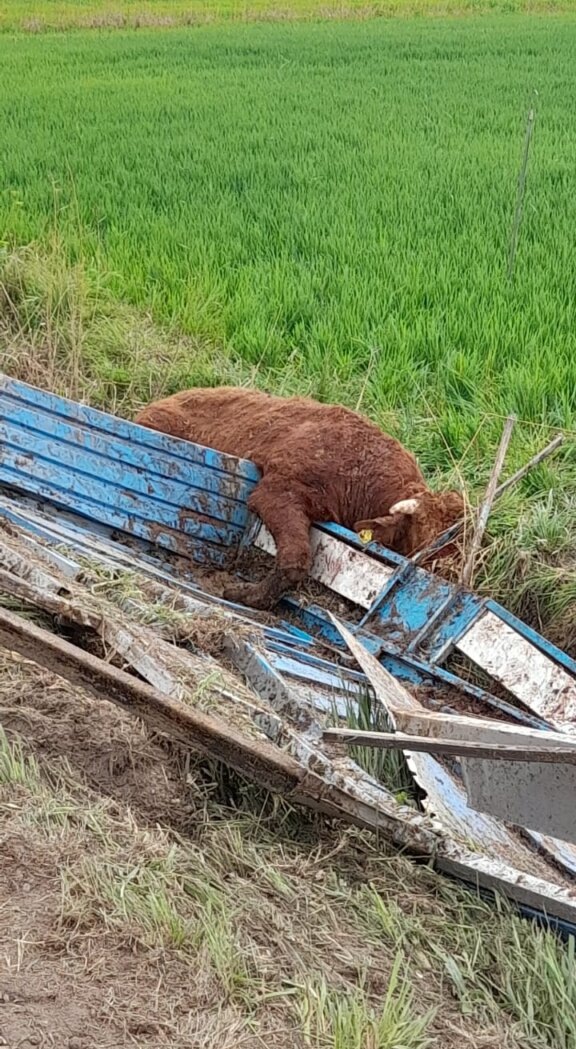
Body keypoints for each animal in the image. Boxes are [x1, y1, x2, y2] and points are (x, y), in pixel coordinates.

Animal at [134, 390, 461, 612]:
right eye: (424, 535)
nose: (449, 578)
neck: (362, 468)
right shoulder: (276, 491)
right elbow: (296, 558)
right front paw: (245, 594)